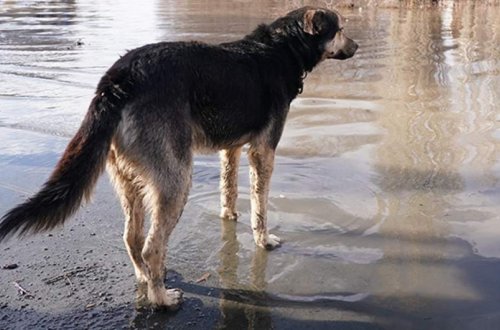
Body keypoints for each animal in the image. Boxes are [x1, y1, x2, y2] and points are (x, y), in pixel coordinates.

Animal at [0, 5, 360, 310]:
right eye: (341, 29)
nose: (357, 46)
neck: (283, 48)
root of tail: (118, 79)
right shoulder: (263, 151)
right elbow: (261, 206)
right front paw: (264, 240)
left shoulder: (231, 149)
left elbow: (228, 189)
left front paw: (229, 215)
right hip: (176, 180)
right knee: (152, 246)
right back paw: (161, 299)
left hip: (128, 178)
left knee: (131, 237)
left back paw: (146, 278)